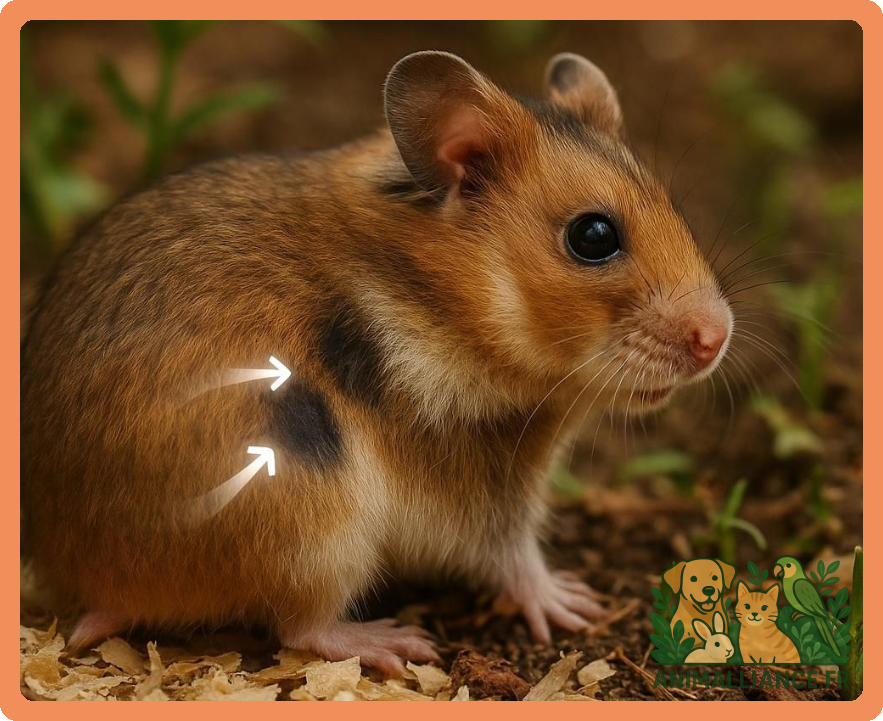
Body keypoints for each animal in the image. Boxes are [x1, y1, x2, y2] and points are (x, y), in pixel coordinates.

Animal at [20, 51, 732, 675]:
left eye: (670, 203)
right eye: (593, 236)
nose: (716, 338)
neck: (439, 294)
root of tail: (75, 580)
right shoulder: (477, 481)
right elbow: (515, 558)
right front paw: (575, 604)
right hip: (315, 527)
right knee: (300, 626)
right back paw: (397, 643)